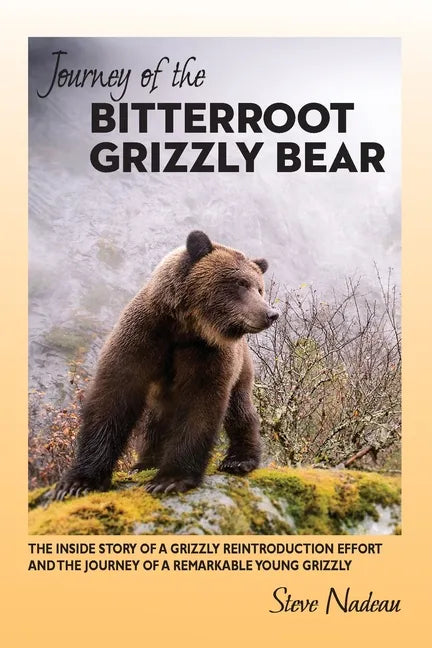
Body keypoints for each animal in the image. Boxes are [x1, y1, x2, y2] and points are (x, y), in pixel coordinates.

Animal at [53, 231, 279, 499]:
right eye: (240, 283)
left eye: (259, 288)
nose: (271, 313)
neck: (185, 327)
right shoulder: (143, 337)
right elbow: (112, 398)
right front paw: (78, 481)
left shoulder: (207, 353)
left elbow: (199, 406)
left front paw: (170, 478)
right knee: (156, 419)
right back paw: (144, 463)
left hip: (241, 368)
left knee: (239, 408)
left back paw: (240, 459)